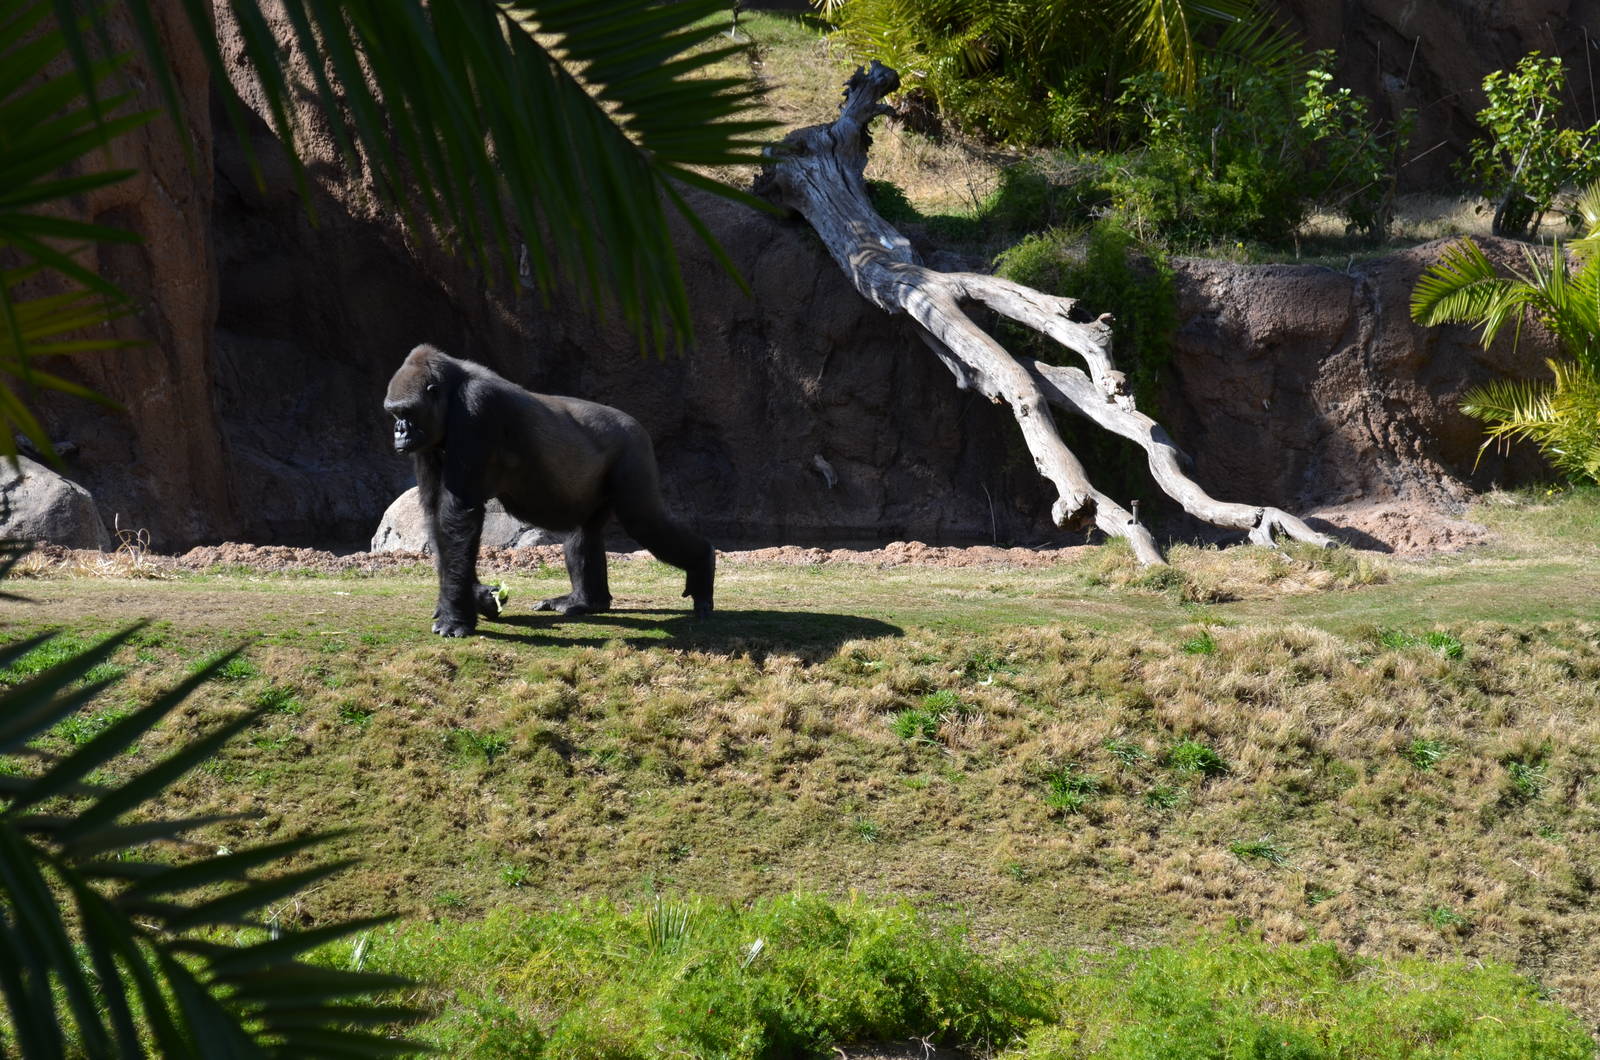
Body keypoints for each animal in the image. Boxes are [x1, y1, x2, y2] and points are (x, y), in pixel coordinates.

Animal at [383, 344, 714, 636]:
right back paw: (586, 601)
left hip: (633, 446)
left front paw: (456, 616)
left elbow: (457, 515)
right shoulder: (427, 442)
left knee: (644, 520)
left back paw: (701, 566)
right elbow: (437, 517)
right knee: (585, 531)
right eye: (394, 414)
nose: (398, 432)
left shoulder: (476, 410)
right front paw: (476, 597)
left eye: (407, 412)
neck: (451, 391)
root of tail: (638, 424)